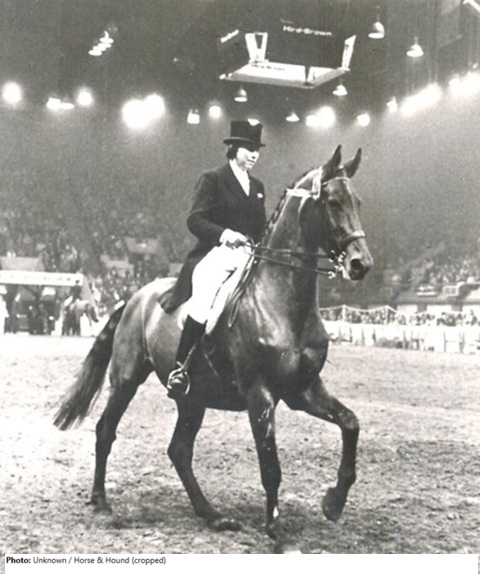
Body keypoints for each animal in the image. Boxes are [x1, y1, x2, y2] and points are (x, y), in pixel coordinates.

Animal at [54, 146, 373, 553]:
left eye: (358, 202)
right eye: (333, 202)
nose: (361, 264)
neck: (282, 301)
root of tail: (135, 297)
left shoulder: (303, 390)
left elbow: (350, 423)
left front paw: (333, 502)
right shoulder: (260, 395)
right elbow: (271, 465)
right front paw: (277, 532)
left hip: (193, 398)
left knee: (179, 450)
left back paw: (212, 515)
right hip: (126, 380)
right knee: (105, 431)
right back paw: (101, 501)